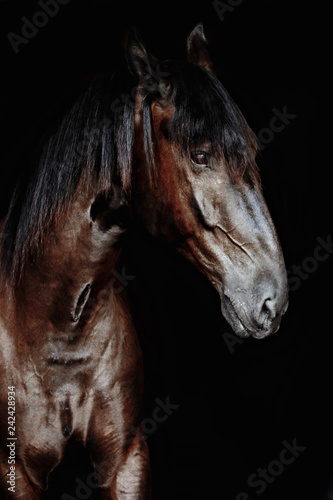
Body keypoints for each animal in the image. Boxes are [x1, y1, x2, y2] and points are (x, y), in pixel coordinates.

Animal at [0, 24, 286, 500]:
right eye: (201, 154)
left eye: (251, 152)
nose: (272, 301)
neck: (58, 325)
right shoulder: (17, 470)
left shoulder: (126, 458)